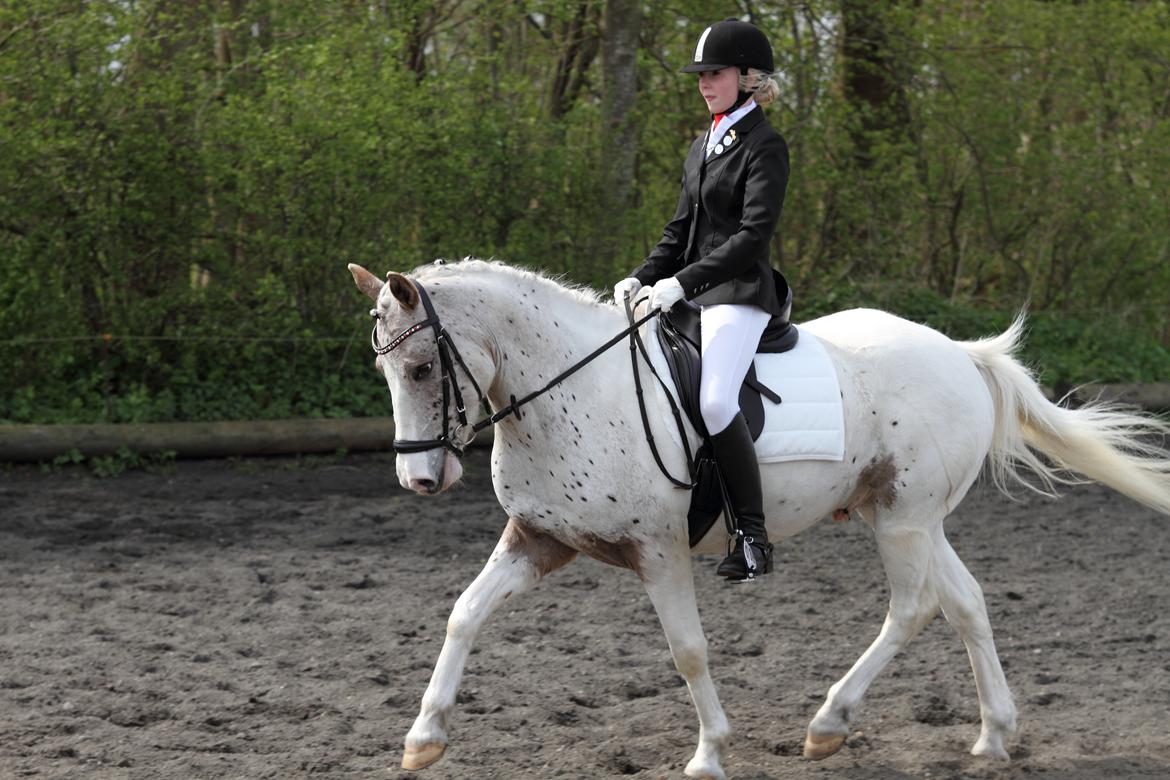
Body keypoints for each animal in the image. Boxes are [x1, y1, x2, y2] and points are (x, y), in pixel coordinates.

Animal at [347, 258, 1170, 779]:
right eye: (385, 367)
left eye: (421, 368)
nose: (421, 479)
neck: (571, 393)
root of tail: (961, 355)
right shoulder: (540, 539)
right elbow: (464, 614)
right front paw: (423, 739)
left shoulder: (658, 551)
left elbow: (688, 652)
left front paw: (710, 752)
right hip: (909, 517)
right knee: (964, 602)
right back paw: (994, 735)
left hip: (903, 520)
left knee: (913, 607)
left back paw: (830, 722)